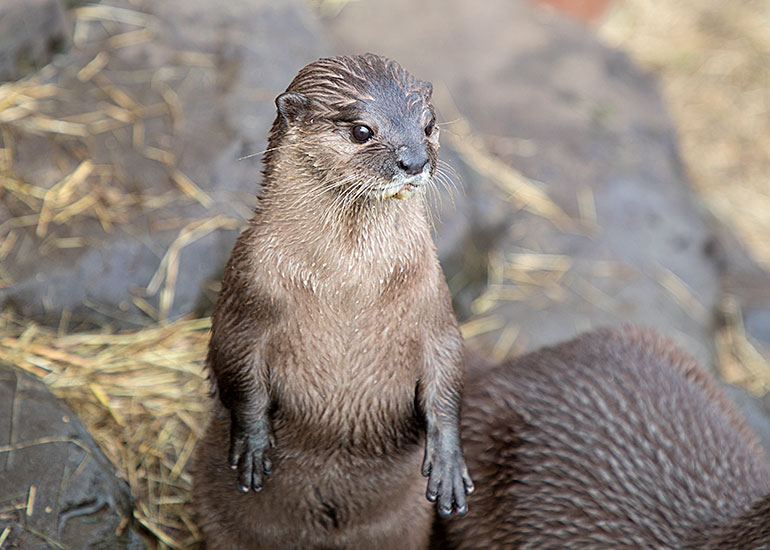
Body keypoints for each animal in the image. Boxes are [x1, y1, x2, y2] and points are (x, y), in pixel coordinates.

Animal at [192, 54, 472, 550]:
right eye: (362, 131)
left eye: (428, 124)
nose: (414, 161)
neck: (349, 285)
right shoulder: (247, 287)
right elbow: (232, 358)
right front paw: (253, 442)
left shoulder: (431, 297)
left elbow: (449, 365)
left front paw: (448, 461)